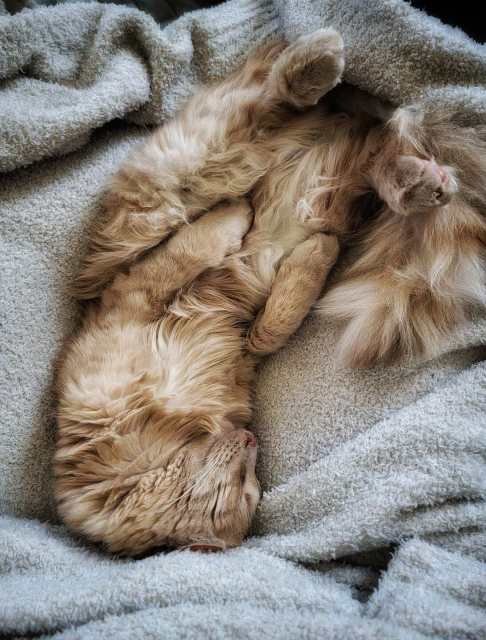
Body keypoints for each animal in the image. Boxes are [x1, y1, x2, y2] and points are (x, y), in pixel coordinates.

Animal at [56, 30, 486, 556]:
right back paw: (416, 181)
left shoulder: (140, 288)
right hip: (333, 182)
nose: (250, 442)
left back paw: (315, 65)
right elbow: (273, 322)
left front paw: (238, 219)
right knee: (371, 156)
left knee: (271, 102)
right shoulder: (233, 344)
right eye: (247, 490)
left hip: (191, 165)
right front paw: (311, 255)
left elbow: (199, 246)